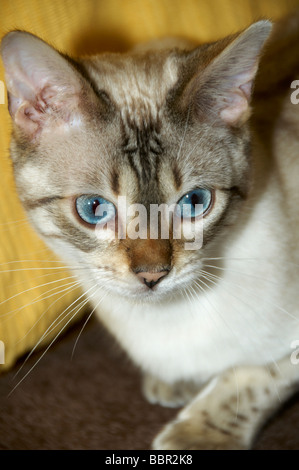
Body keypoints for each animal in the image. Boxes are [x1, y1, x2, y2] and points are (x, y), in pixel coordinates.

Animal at [0, 11, 299, 452]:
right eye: (94, 208)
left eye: (195, 202)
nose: (153, 275)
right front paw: (176, 385)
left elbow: (254, 375)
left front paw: (196, 436)